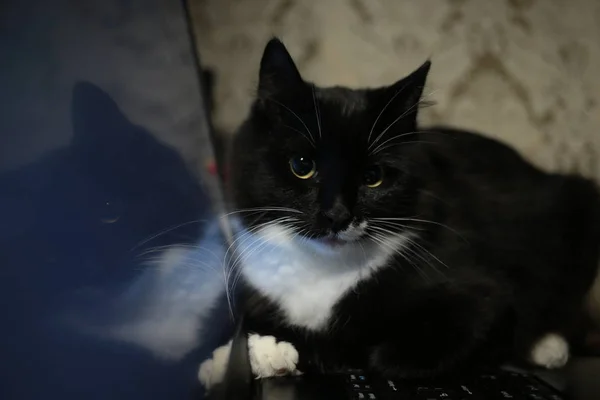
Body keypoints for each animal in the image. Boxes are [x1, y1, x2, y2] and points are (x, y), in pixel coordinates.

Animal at [199, 37, 600, 388]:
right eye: (302, 165)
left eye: (373, 177)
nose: (337, 215)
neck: (323, 270)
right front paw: (233, 359)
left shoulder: (479, 296)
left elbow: (374, 350)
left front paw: (276, 352)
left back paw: (549, 346)